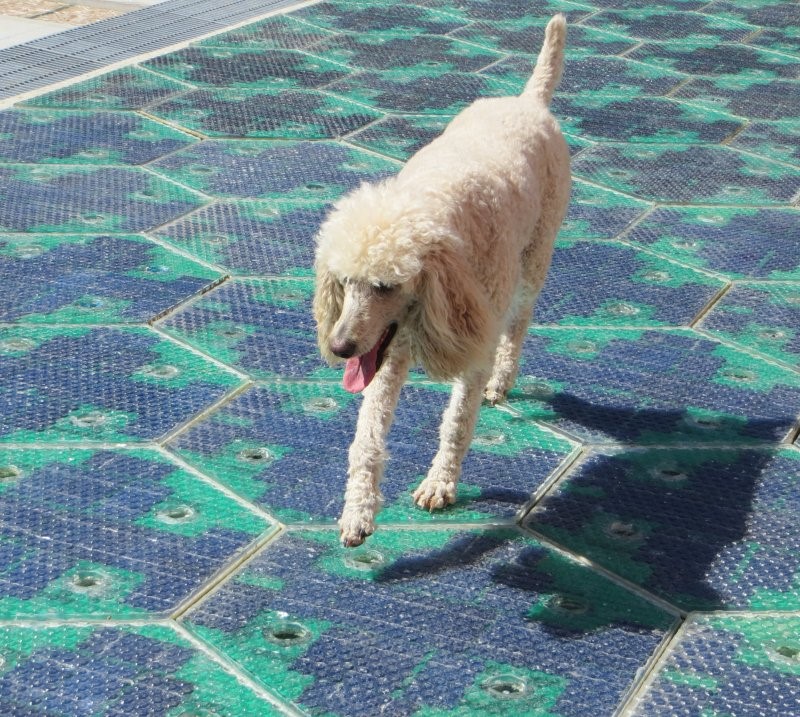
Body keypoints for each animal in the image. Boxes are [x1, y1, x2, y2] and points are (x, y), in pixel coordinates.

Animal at [310, 14, 568, 544]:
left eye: (386, 286)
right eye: (344, 281)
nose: (340, 347)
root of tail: (527, 100)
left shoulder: (474, 338)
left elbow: (457, 420)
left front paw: (440, 483)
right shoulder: (387, 356)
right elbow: (367, 436)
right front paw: (358, 511)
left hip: (533, 263)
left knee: (518, 325)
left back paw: (502, 380)